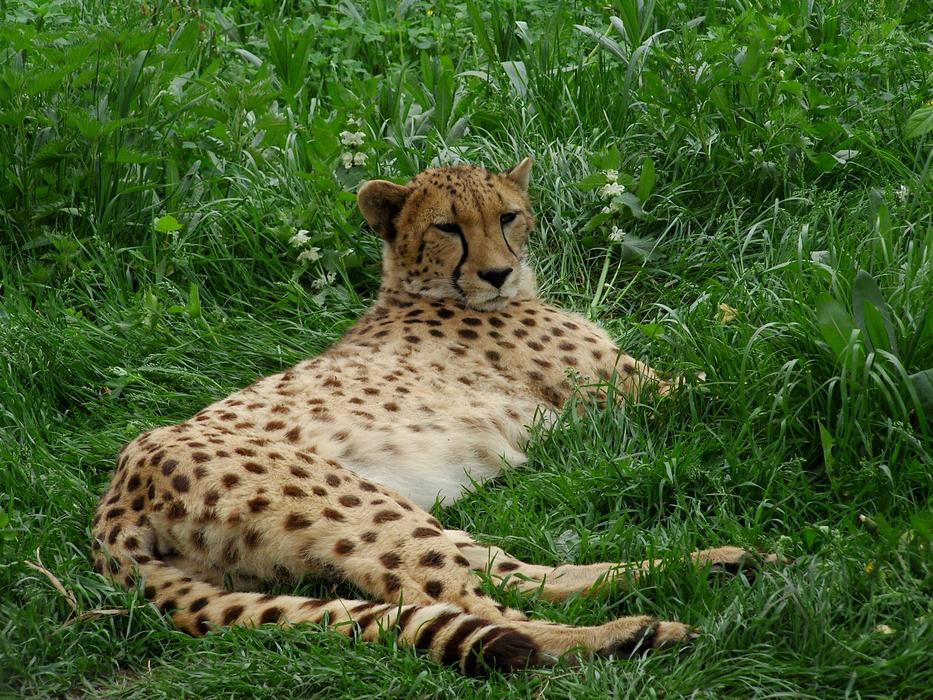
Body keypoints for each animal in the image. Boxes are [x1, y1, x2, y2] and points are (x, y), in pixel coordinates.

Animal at [91, 158, 775, 675]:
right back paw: (627, 635)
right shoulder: (637, 392)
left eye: (507, 216)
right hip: (359, 506)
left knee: (512, 575)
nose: (497, 272)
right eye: (448, 227)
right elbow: (730, 371)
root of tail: (116, 494)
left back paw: (712, 564)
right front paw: (777, 336)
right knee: (479, 604)